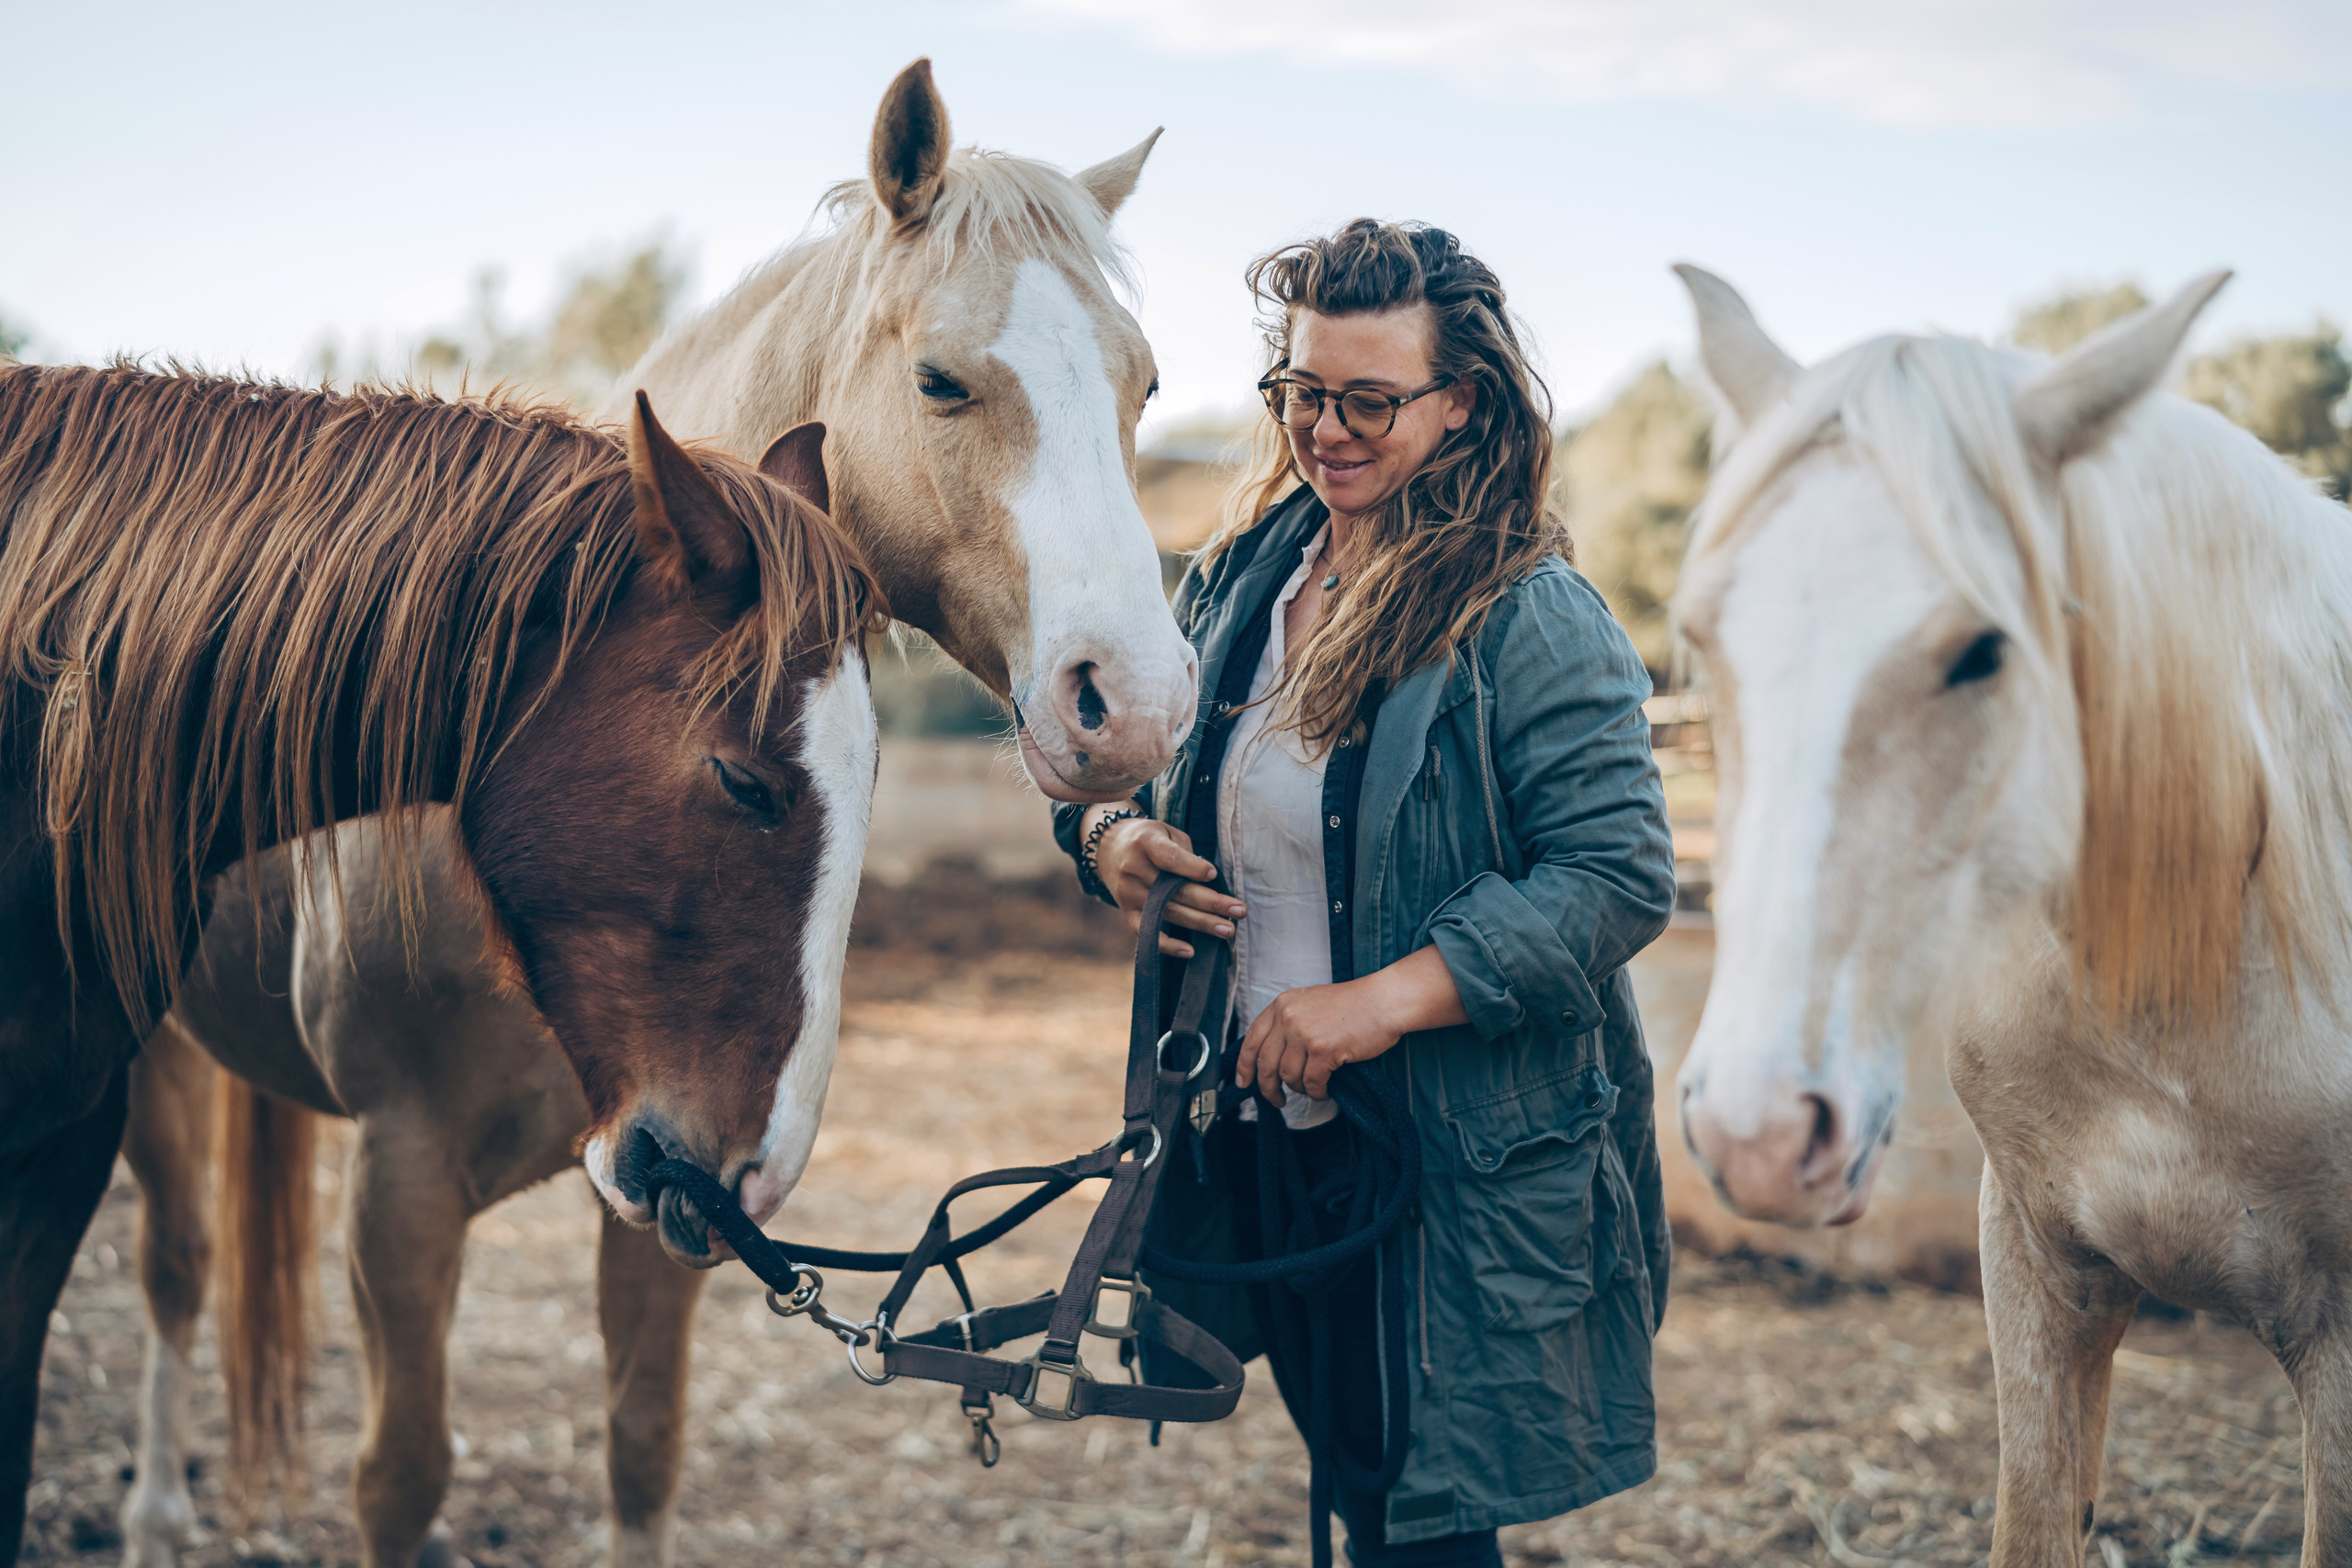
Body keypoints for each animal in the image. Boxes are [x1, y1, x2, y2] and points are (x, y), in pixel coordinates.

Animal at [109, 58, 1193, 1568]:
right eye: (941, 380)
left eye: (1145, 382)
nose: (1139, 704)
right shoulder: (402, 1189)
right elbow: (401, 1472)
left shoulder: (677, 1185)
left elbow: (640, 1441)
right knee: (174, 1264)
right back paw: (154, 1504)